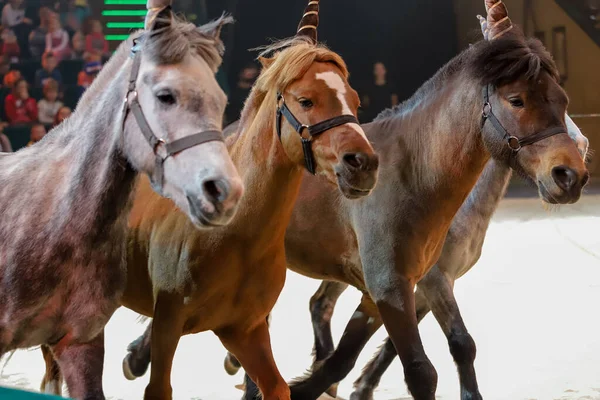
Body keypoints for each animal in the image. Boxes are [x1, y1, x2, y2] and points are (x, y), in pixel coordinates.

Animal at [38, 2, 380, 400]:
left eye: (354, 100)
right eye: (306, 100)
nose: (363, 164)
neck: (234, 237)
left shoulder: (244, 329)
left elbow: (276, 386)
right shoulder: (168, 322)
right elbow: (158, 386)